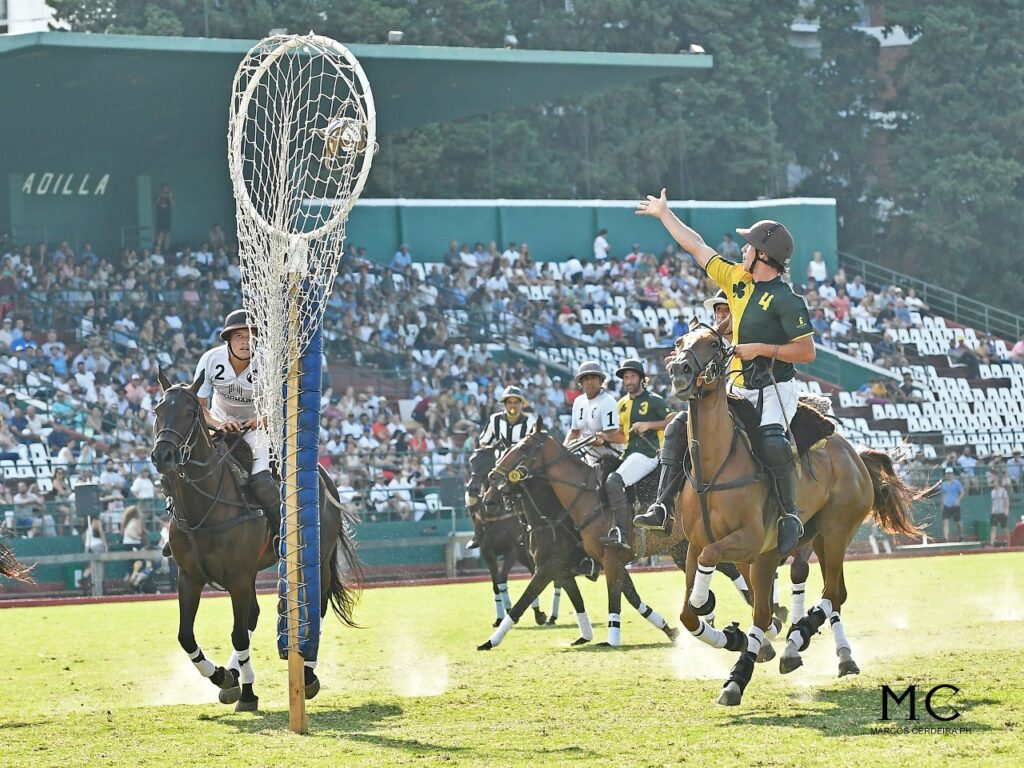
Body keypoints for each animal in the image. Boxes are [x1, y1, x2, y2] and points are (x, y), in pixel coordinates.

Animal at [149, 372, 360, 716]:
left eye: (190, 412)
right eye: (157, 409)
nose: (162, 456)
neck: (202, 509)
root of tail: (322, 475)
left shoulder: (237, 578)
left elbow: (238, 635)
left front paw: (243, 690)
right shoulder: (190, 578)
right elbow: (186, 636)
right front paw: (224, 677)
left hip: (317, 556)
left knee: (318, 604)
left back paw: (307, 675)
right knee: (255, 616)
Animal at [667, 321, 925, 708]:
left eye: (713, 343)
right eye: (680, 341)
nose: (679, 370)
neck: (713, 469)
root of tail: (854, 453)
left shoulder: (752, 542)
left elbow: (723, 590)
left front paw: (733, 666)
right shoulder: (698, 545)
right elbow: (688, 614)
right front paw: (730, 636)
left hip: (836, 531)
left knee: (831, 592)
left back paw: (800, 640)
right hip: (808, 540)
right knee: (822, 594)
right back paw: (806, 651)